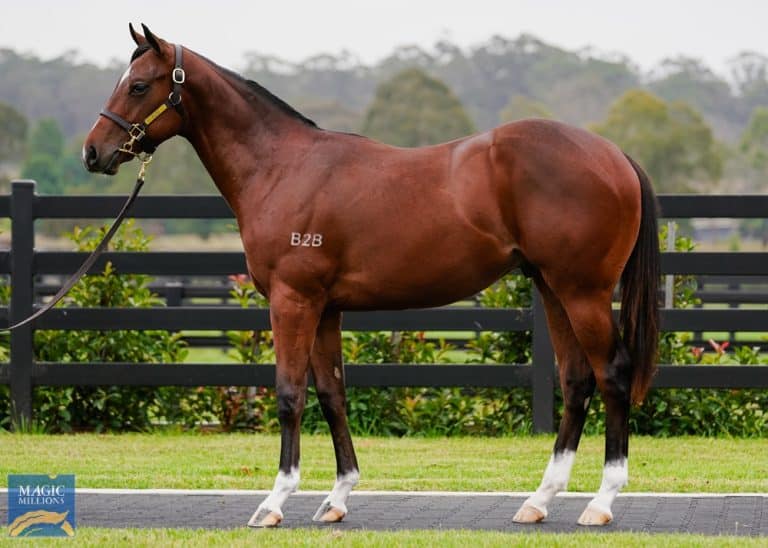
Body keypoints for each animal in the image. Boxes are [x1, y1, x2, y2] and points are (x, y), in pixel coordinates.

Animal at [83, 24, 659, 528]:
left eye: (139, 85)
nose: (94, 152)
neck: (281, 167)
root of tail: (614, 155)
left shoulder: (292, 301)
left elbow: (290, 393)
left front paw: (274, 503)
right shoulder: (326, 308)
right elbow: (332, 394)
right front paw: (337, 499)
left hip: (582, 293)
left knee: (612, 374)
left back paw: (601, 502)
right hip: (552, 288)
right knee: (577, 380)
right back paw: (539, 500)